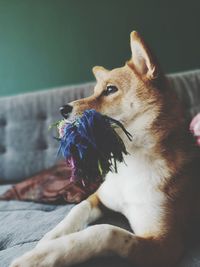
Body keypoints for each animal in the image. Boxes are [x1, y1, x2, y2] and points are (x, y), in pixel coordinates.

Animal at [9, 31, 200, 267]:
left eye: (110, 89)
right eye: (95, 91)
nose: (62, 109)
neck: (132, 163)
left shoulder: (165, 245)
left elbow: (105, 231)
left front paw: (41, 256)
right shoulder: (97, 197)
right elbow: (77, 209)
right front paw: (49, 239)